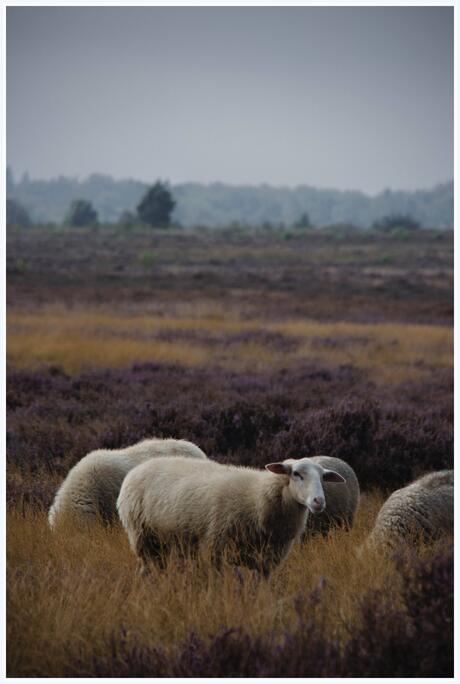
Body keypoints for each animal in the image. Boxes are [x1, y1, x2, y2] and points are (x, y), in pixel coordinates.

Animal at [117, 454, 344, 576]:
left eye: (323, 477)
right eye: (296, 474)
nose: (318, 501)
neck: (257, 498)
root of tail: (137, 469)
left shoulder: (266, 561)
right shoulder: (216, 548)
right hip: (143, 537)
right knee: (147, 569)